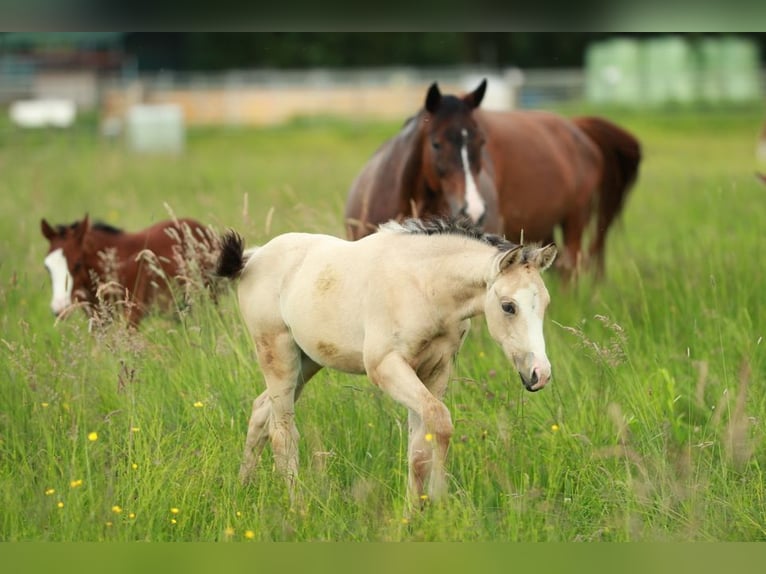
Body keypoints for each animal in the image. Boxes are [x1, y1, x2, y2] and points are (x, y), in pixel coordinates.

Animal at [215, 217, 558, 504]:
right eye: (508, 306)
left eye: (545, 303)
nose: (539, 374)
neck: (424, 285)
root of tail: (252, 258)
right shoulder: (386, 367)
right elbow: (440, 423)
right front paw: (434, 504)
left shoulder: (436, 370)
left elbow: (420, 446)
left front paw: (419, 511)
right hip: (278, 355)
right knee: (282, 431)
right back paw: (297, 506)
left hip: (307, 362)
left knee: (261, 412)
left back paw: (242, 487)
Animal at [344, 79, 642, 280]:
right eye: (436, 144)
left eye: (481, 141)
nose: (474, 209)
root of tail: (576, 127)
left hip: (575, 220)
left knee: (570, 267)